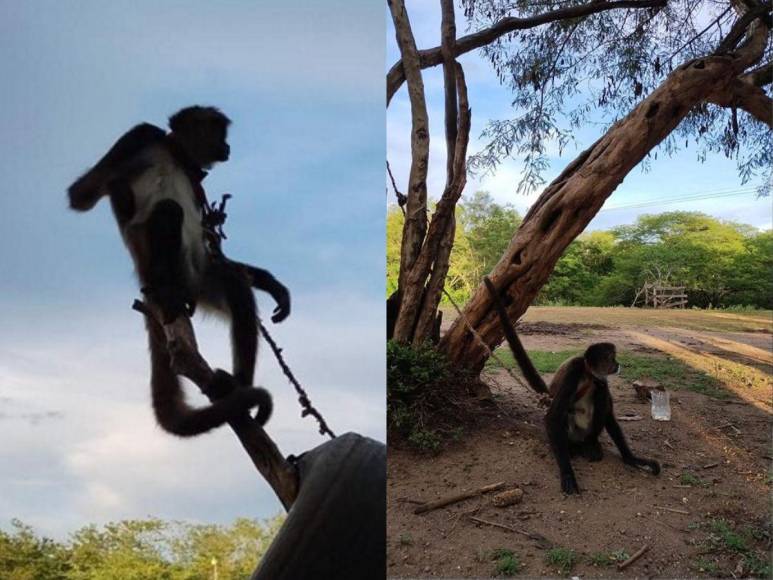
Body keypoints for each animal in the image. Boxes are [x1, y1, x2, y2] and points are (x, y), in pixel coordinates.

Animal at [65, 106, 290, 438]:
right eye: (220, 134)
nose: (228, 147)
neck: (174, 154)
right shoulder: (140, 134)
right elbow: (80, 195)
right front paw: (117, 188)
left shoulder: (197, 182)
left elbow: (219, 257)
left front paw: (271, 283)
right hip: (158, 265)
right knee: (167, 210)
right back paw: (166, 292)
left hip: (200, 281)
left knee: (234, 283)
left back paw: (237, 385)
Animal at [482, 276, 656, 494]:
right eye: (611, 358)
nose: (617, 364)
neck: (587, 374)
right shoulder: (574, 372)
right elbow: (553, 417)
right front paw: (567, 474)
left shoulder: (600, 377)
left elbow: (608, 412)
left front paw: (632, 459)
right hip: (572, 432)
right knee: (566, 413)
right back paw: (573, 448)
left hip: (587, 428)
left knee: (600, 395)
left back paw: (590, 445)